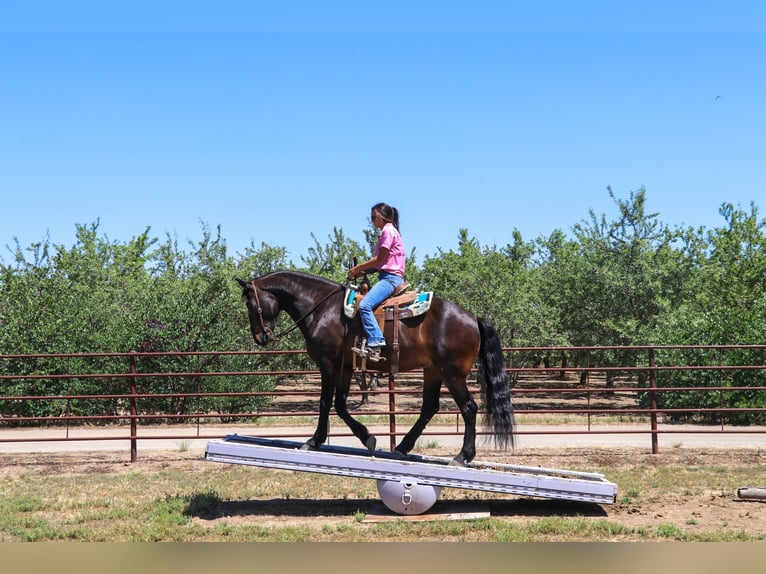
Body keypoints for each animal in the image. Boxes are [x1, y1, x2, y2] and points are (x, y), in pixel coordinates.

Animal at [238, 272, 516, 468]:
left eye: (250, 304)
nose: (260, 337)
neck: (321, 308)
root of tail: (473, 318)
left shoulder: (328, 364)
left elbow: (325, 402)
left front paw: (314, 441)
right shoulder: (345, 367)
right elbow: (340, 404)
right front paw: (367, 437)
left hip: (452, 373)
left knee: (468, 408)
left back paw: (462, 455)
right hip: (433, 371)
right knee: (429, 407)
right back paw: (402, 446)